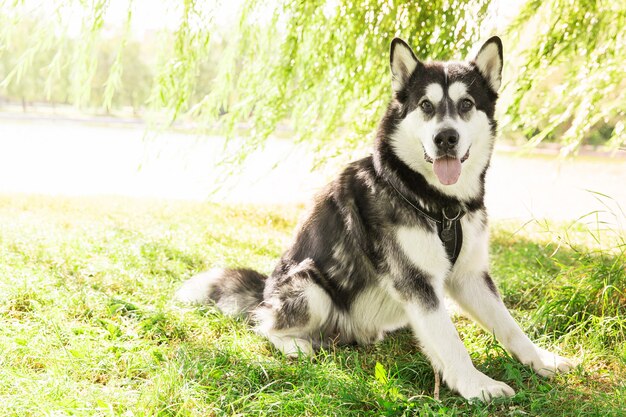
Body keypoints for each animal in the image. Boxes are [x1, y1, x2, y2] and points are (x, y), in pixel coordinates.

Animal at [174, 35, 572, 400]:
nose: (446, 138)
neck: (438, 203)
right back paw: (295, 344)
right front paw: (477, 385)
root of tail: (265, 289)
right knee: (263, 323)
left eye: (466, 104)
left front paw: (541, 360)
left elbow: (508, 324)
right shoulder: (416, 280)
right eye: (426, 105)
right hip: (310, 285)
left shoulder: (470, 275)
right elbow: (450, 339)